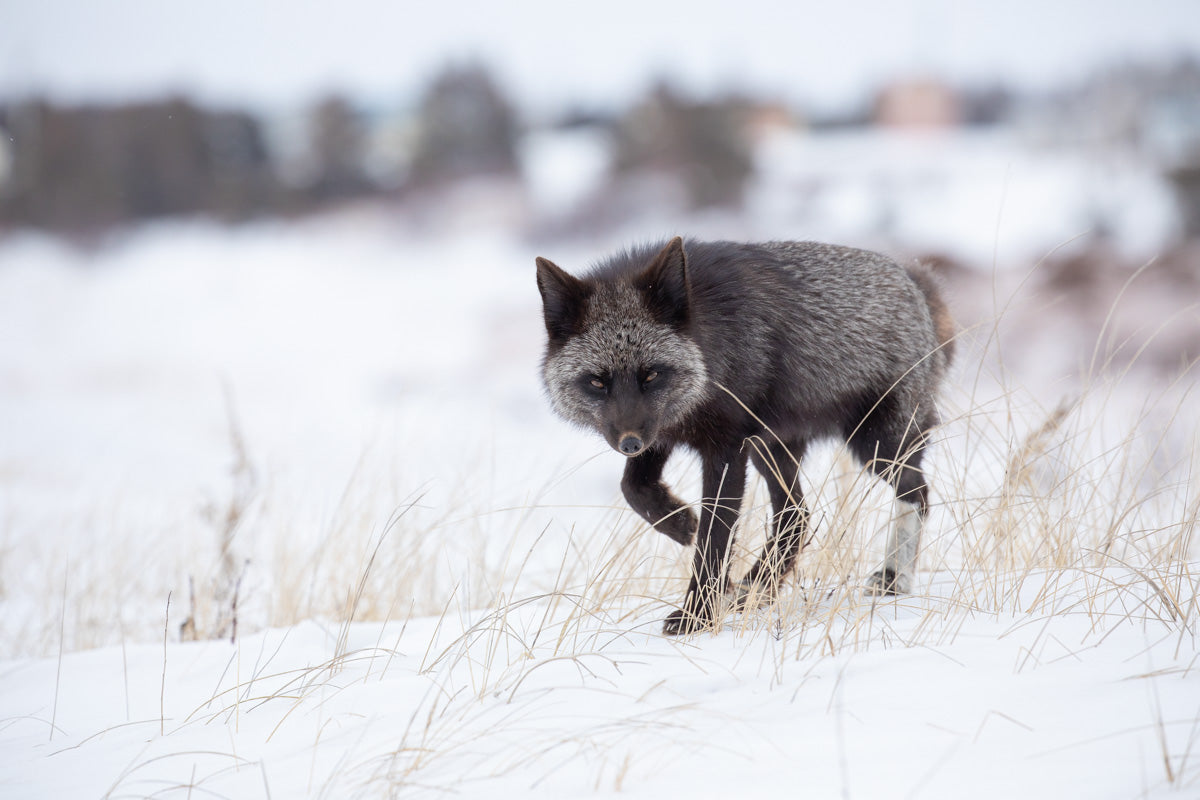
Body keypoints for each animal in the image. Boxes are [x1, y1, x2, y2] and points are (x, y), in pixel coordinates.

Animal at [535, 237, 954, 635]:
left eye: (651, 374)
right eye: (596, 382)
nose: (629, 444)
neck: (712, 344)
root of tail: (915, 281)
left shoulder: (725, 448)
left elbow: (714, 539)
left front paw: (696, 616)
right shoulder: (665, 430)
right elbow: (634, 488)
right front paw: (680, 523)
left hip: (875, 445)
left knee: (916, 493)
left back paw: (893, 577)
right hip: (772, 449)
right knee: (796, 516)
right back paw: (757, 587)